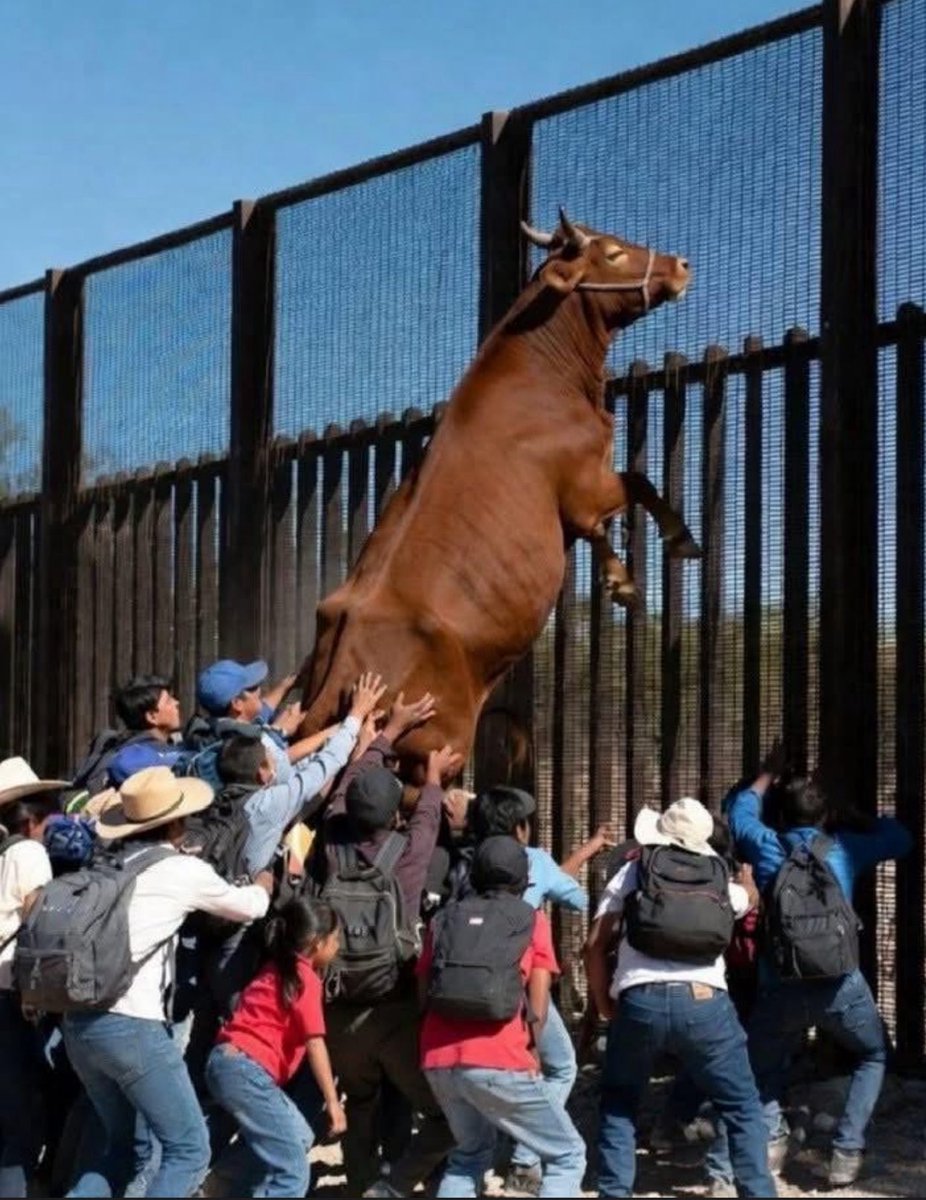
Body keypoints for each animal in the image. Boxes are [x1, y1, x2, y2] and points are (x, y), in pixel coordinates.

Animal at [298, 211, 699, 779]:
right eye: (613, 253)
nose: (680, 265)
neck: (539, 376)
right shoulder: (584, 485)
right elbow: (635, 484)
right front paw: (660, 553)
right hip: (434, 746)